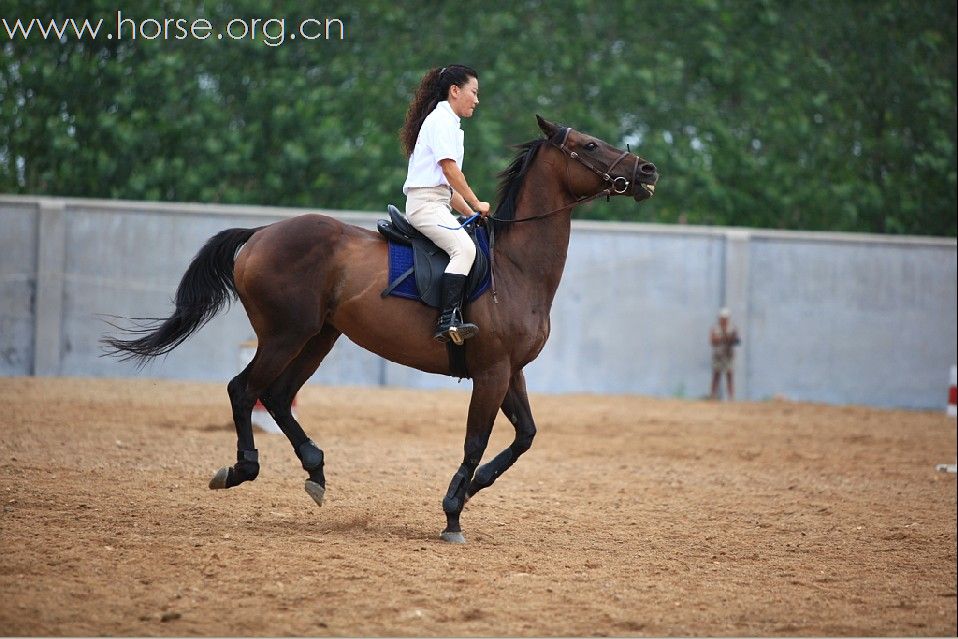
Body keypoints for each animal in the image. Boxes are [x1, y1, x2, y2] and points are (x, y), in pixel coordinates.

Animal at [105, 116, 660, 544]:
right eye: (589, 144)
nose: (647, 170)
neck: (515, 266)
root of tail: (261, 233)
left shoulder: (511, 371)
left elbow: (523, 436)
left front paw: (471, 488)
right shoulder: (491, 371)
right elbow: (476, 440)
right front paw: (453, 514)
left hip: (317, 338)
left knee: (278, 396)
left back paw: (315, 470)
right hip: (285, 335)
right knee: (245, 389)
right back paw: (244, 468)